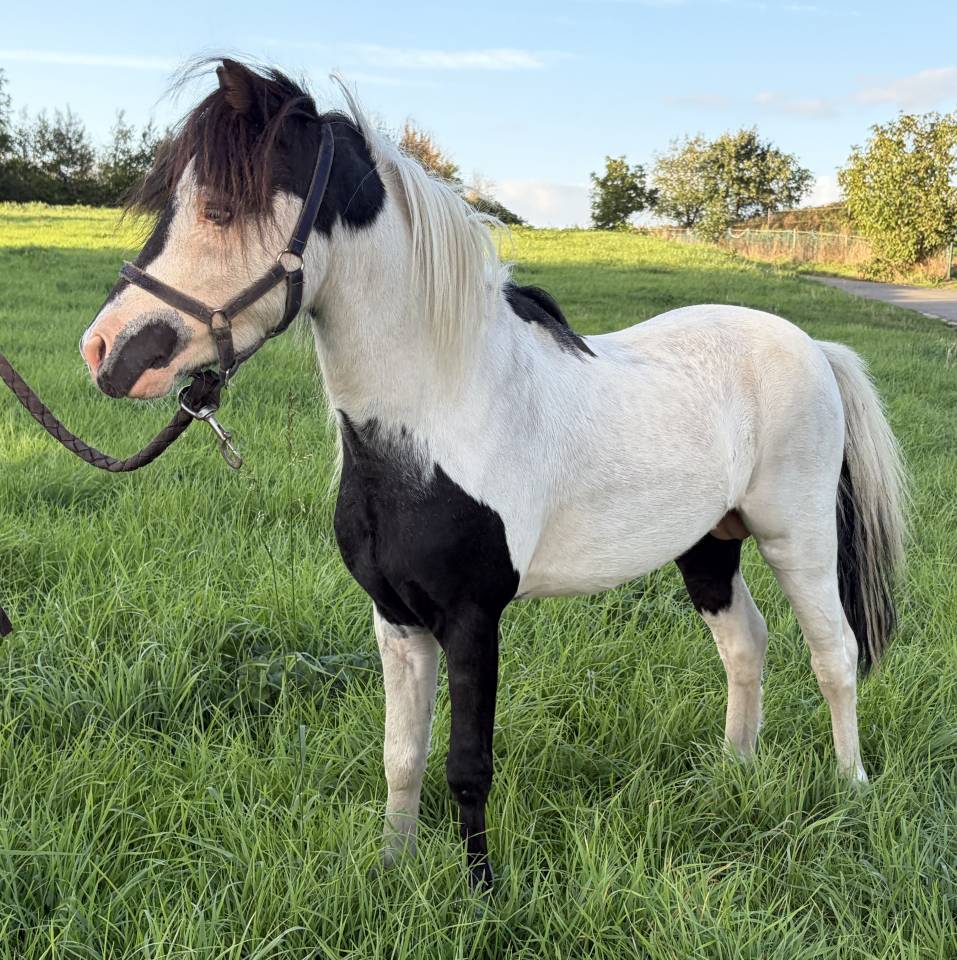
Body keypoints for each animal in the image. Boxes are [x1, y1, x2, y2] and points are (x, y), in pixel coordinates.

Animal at [80, 59, 907, 889]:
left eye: (220, 209)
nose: (106, 351)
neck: (441, 418)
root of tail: (812, 345)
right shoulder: (395, 617)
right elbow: (402, 757)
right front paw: (394, 868)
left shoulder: (473, 617)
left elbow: (466, 766)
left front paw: (480, 891)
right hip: (707, 544)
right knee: (745, 644)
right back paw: (733, 773)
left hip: (796, 537)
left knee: (833, 654)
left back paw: (850, 789)